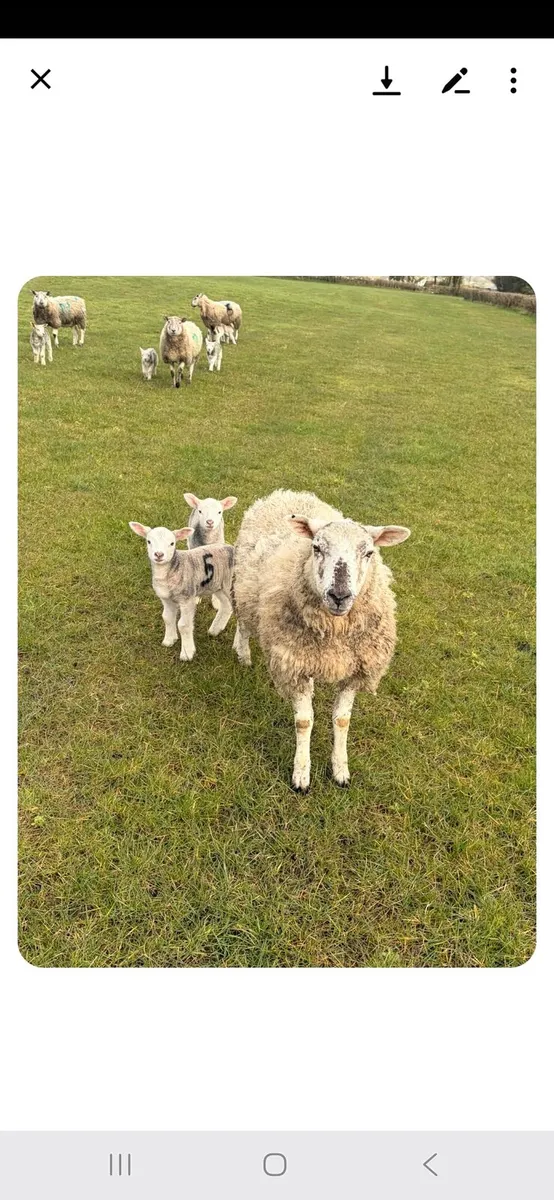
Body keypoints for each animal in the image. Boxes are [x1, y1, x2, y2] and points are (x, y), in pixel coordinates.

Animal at [129, 522, 234, 661]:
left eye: (172, 543)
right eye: (149, 541)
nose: (159, 555)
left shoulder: (187, 599)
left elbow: (183, 625)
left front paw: (187, 653)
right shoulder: (166, 599)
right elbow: (167, 618)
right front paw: (169, 640)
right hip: (217, 585)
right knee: (227, 606)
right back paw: (215, 630)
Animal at [232, 488, 410, 792]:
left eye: (369, 552)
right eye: (316, 548)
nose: (339, 596)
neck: (334, 633)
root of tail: (287, 493)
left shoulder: (355, 671)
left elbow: (342, 720)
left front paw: (340, 771)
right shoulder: (296, 666)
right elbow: (304, 722)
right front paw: (301, 775)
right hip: (245, 588)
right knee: (244, 624)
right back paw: (243, 654)